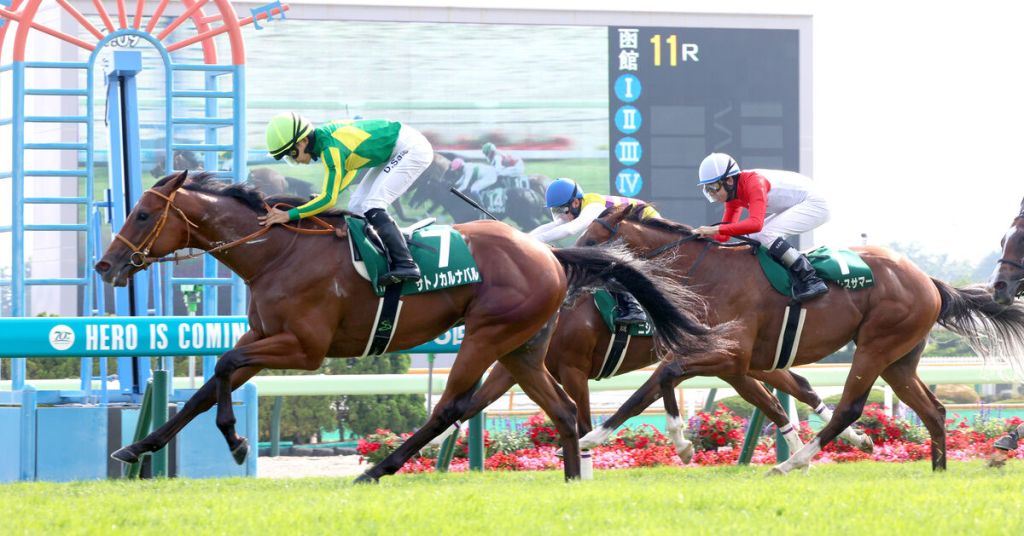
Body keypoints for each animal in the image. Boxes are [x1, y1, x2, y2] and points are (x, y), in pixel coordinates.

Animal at [93, 171, 726, 483]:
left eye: (143, 214)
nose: (105, 265)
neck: (277, 252)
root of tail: (549, 257)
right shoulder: (264, 337)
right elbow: (208, 385)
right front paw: (139, 448)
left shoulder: (304, 349)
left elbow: (223, 368)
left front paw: (235, 439)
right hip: (523, 348)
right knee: (565, 411)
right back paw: (573, 480)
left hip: (488, 333)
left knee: (451, 406)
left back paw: (378, 469)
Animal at [571, 203, 1024, 475]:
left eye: (594, 237)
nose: (570, 266)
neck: (707, 274)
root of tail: (928, 280)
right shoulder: (717, 355)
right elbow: (647, 390)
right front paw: (592, 437)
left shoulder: (729, 355)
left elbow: (664, 380)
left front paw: (680, 445)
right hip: (899, 359)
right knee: (933, 410)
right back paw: (937, 470)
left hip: (876, 346)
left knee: (851, 407)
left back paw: (792, 463)